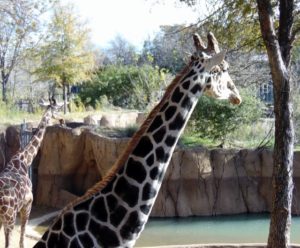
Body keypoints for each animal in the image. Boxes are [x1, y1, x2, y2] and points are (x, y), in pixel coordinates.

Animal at [0, 99, 61, 248]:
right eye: (57, 108)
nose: (62, 120)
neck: (24, 160)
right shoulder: (27, 205)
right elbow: (22, 239)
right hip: (9, 217)